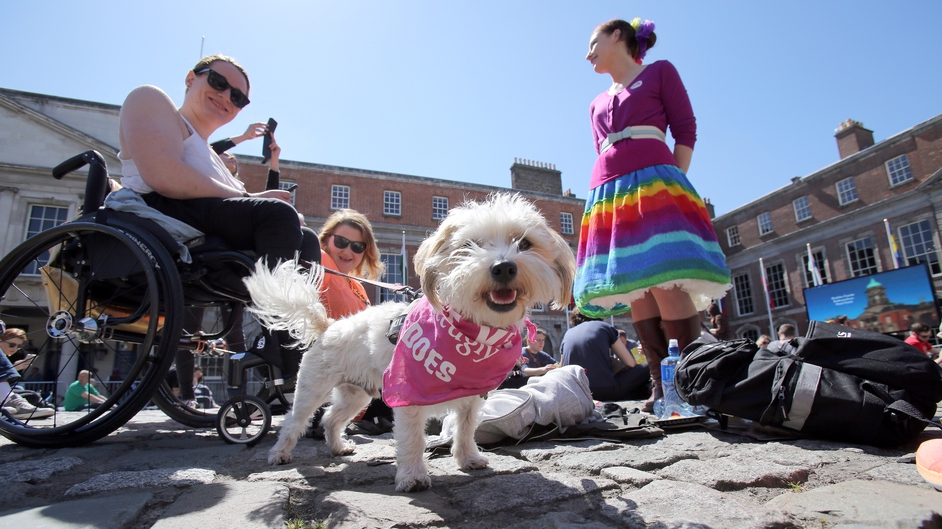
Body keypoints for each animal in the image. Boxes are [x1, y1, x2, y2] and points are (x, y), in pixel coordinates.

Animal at [245, 193, 576, 490]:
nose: (504, 267)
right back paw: (279, 453)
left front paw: (468, 458)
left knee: (330, 418)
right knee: (294, 421)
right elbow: (413, 438)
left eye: (525, 243)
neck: (471, 332)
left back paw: (338, 447)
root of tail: (329, 326)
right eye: (469, 246)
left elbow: (466, 429)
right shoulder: (407, 393)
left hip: (356, 395)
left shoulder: (472, 398)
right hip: (312, 389)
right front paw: (413, 476)